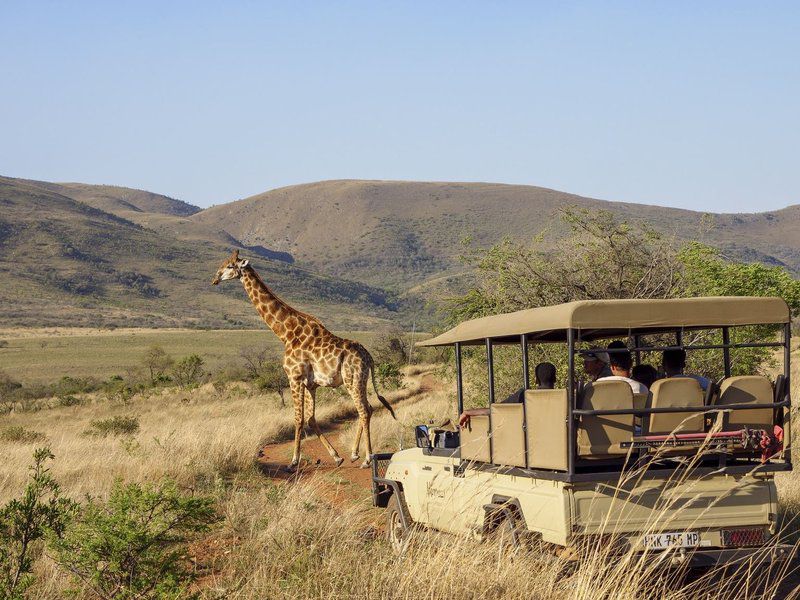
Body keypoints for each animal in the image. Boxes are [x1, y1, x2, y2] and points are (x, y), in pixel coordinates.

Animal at [211, 248, 396, 468]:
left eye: (230, 266)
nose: (215, 278)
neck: (286, 333)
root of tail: (369, 358)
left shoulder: (294, 377)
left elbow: (298, 419)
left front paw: (293, 461)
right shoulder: (311, 384)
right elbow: (310, 419)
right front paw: (337, 457)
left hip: (353, 379)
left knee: (364, 411)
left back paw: (367, 459)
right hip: (359, 380)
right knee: (368, 408)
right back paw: (353, 454)